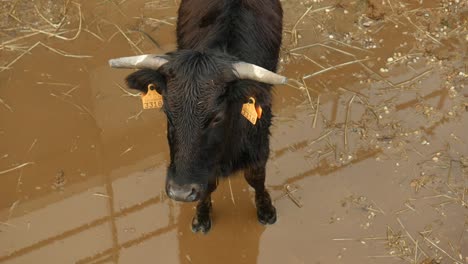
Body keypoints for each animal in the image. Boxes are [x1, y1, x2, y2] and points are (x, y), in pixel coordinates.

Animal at [109, 0, 286, 233]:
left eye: (216, 117)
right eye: (167, 112)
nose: (180, 192)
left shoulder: (259, 145)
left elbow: (256, 178)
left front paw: (266, 211)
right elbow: (208, 186)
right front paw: (201, 217)